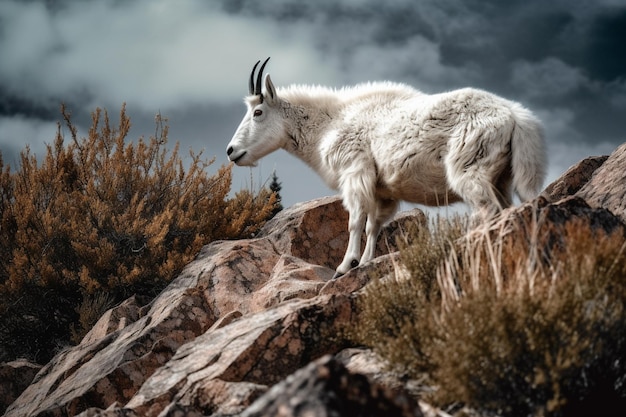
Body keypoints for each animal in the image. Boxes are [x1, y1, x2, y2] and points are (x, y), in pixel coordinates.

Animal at [227, 56, 544, 276]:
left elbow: (355, 221)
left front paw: (345, 266)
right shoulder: (382, 191)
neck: (328, 123)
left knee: (488, 209)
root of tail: (516, 116)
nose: (232, 151)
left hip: (469, 169)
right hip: (502, 177)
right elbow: (373, 226)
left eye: (258, 112)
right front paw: (366, 262)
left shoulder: (355, 172)